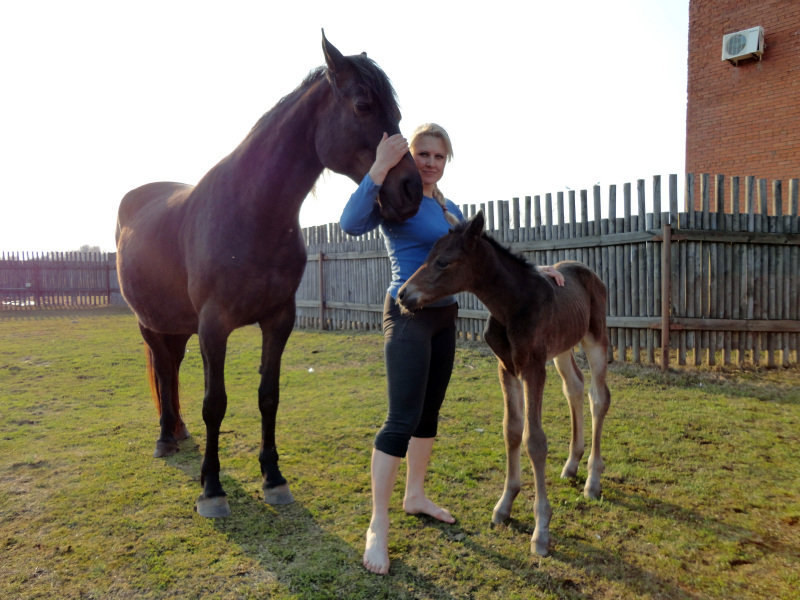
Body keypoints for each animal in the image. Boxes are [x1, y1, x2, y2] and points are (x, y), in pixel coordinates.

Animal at [116, 32, 424, 516]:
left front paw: (274, 478)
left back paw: (178, 431)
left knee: (171, 369)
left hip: (177, 327)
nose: (411, 190)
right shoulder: (214, 327)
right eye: (362, 105)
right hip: (149, 324)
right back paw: (165, 438)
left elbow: (268, 397)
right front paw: (212, 489)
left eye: (396, 113)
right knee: (163, 369)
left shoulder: (278, 321)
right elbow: (215, 404)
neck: (250, 212)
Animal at [396, 212, 608, 556]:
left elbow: (534, 440)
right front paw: (505, 505)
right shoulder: (506, 367)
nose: (403, 295)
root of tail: (588, 270)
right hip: (562, 348)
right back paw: (571, 464)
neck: (512, 305)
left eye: (443, 261)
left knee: (599, 397)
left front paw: (541, 530)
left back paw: (592, 480)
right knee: (574, 388)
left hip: (596, 337)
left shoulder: (533, 367)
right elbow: (511, 430)